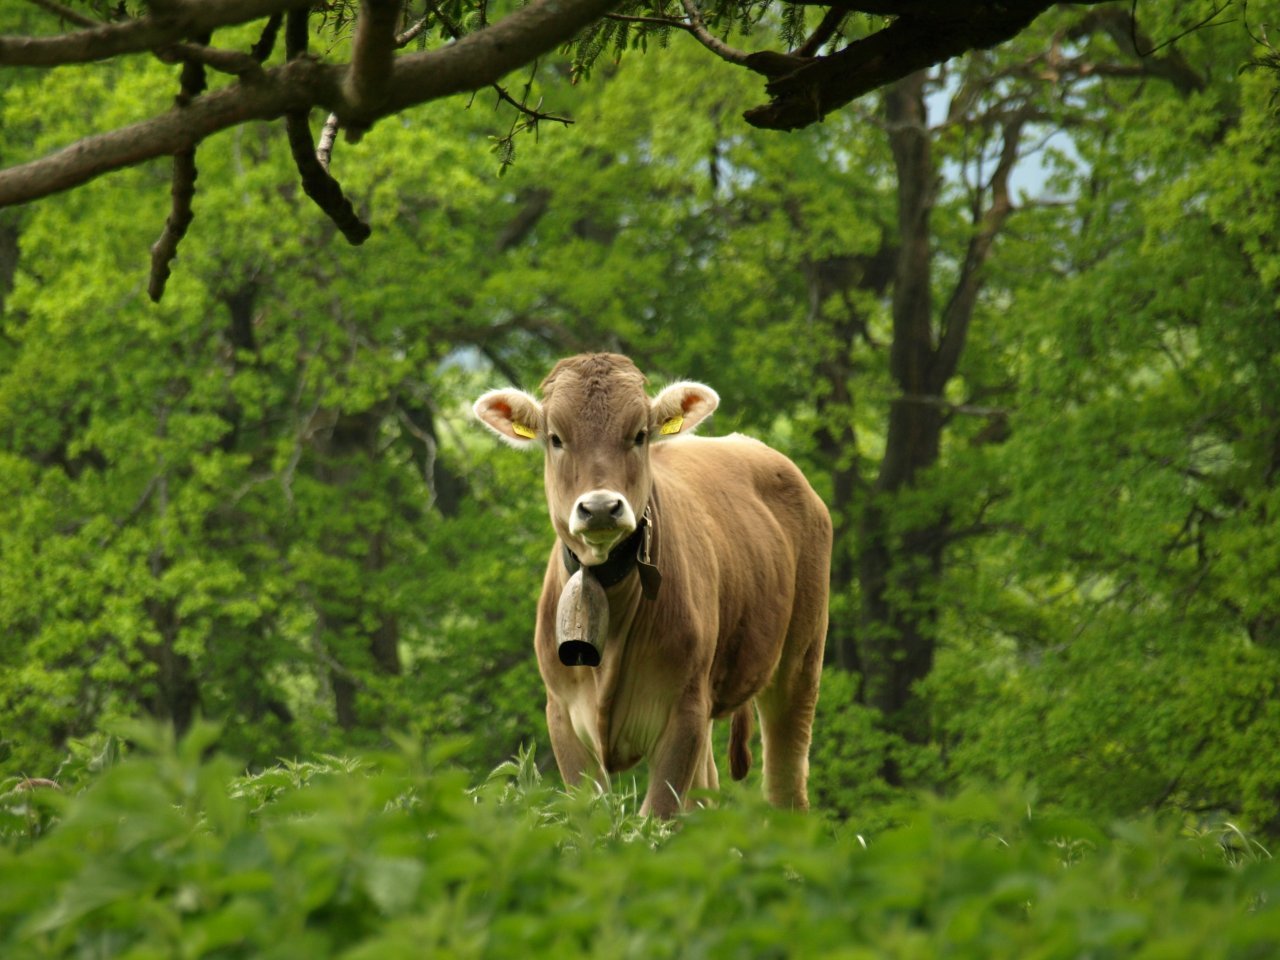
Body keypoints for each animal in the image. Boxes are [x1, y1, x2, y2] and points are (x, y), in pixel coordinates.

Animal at [473, 353, 831, 817]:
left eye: (639, 435)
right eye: (555, 438)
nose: (600, 507)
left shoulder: (684, 710)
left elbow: (658, 816)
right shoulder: (562, 713)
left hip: (800, 661)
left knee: (786, 784)